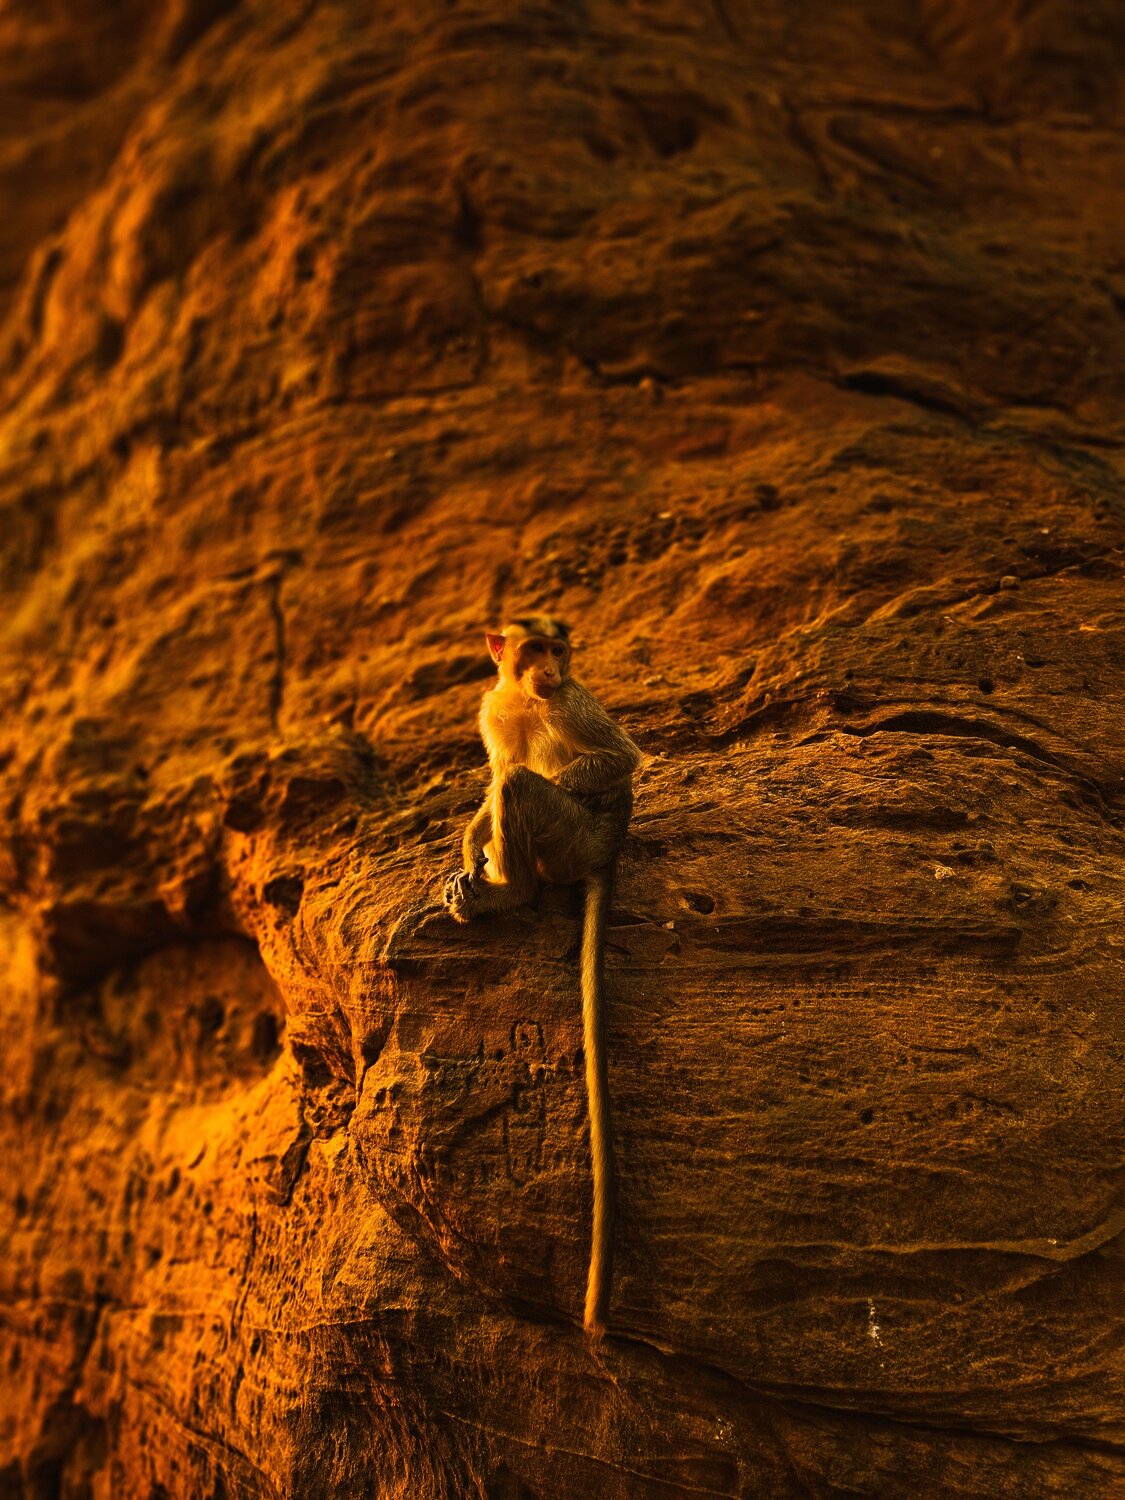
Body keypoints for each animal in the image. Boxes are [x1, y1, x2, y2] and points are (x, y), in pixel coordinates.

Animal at [443, 615, 641, 1335]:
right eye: (533, 650)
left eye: (559, 651)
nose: (551, 670)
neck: (527, 699)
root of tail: (607, 850)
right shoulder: (493, 708)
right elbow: (500, 767)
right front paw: (469, 847)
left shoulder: (572, 703)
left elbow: (616, 759)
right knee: (511, 783)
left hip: (573, 838)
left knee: (525, 791)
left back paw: (511, 891)